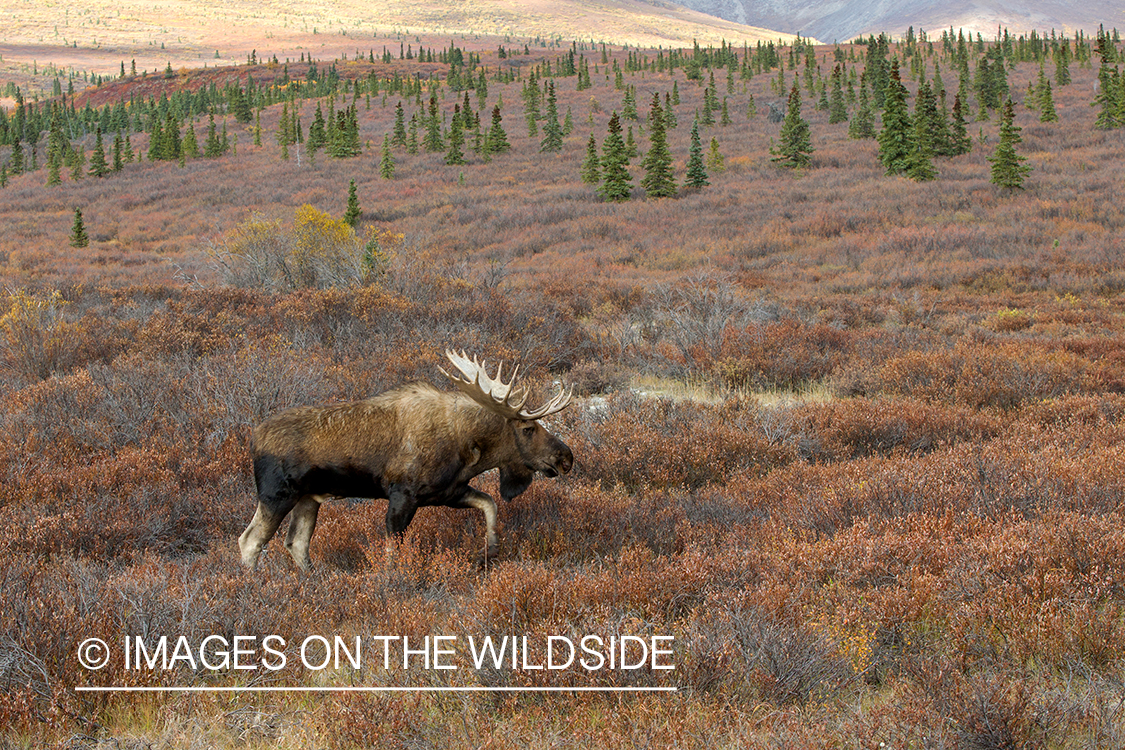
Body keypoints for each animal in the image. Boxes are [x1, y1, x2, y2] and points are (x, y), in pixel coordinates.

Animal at [237, 348, 571, 571]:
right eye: (528, 428)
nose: (566, 457)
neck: (470, 446)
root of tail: (253, 438)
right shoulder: (403, 495)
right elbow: (392, 551)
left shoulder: (448, 492)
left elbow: (490, 504)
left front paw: (489, 552)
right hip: (277, 494)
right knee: (250, 540)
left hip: (308, 498)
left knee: (296, 543)